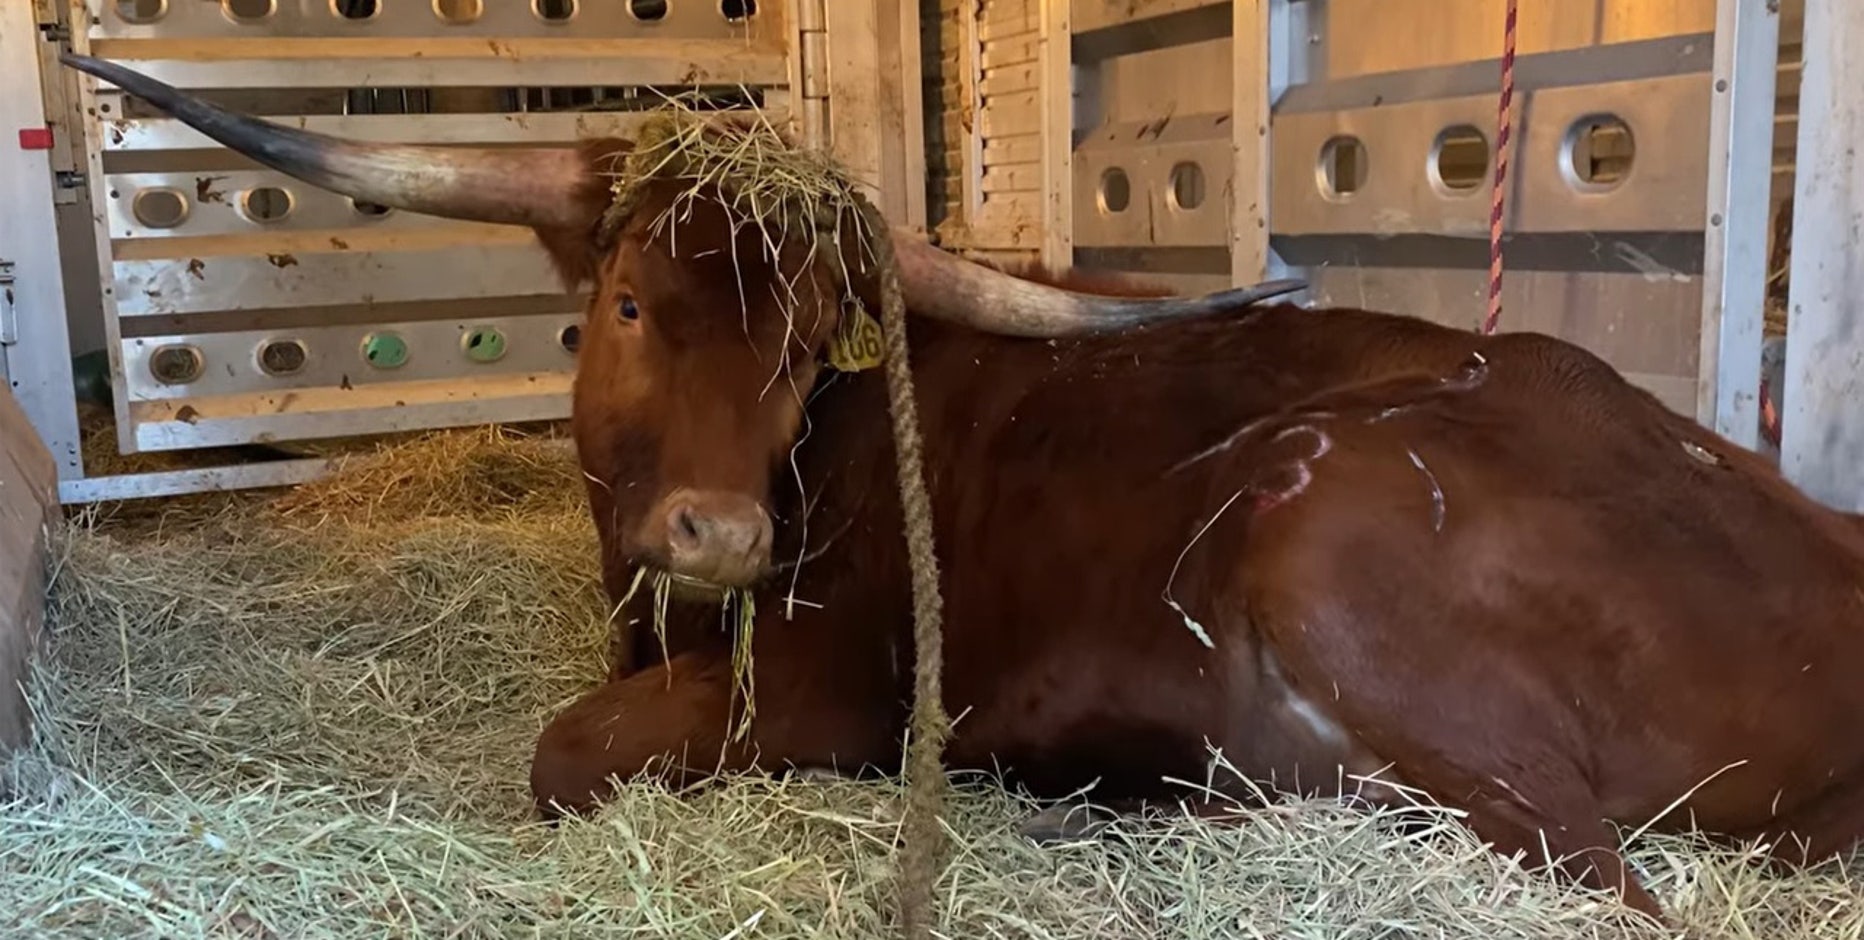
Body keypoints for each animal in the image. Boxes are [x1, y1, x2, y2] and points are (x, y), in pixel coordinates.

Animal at [66, 53, 1864, 924]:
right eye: (628, 302)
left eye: (805, 348)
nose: (723, 533)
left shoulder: (822, 689)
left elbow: (562, 756)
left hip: (1332, 526)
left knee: (1610, 885)